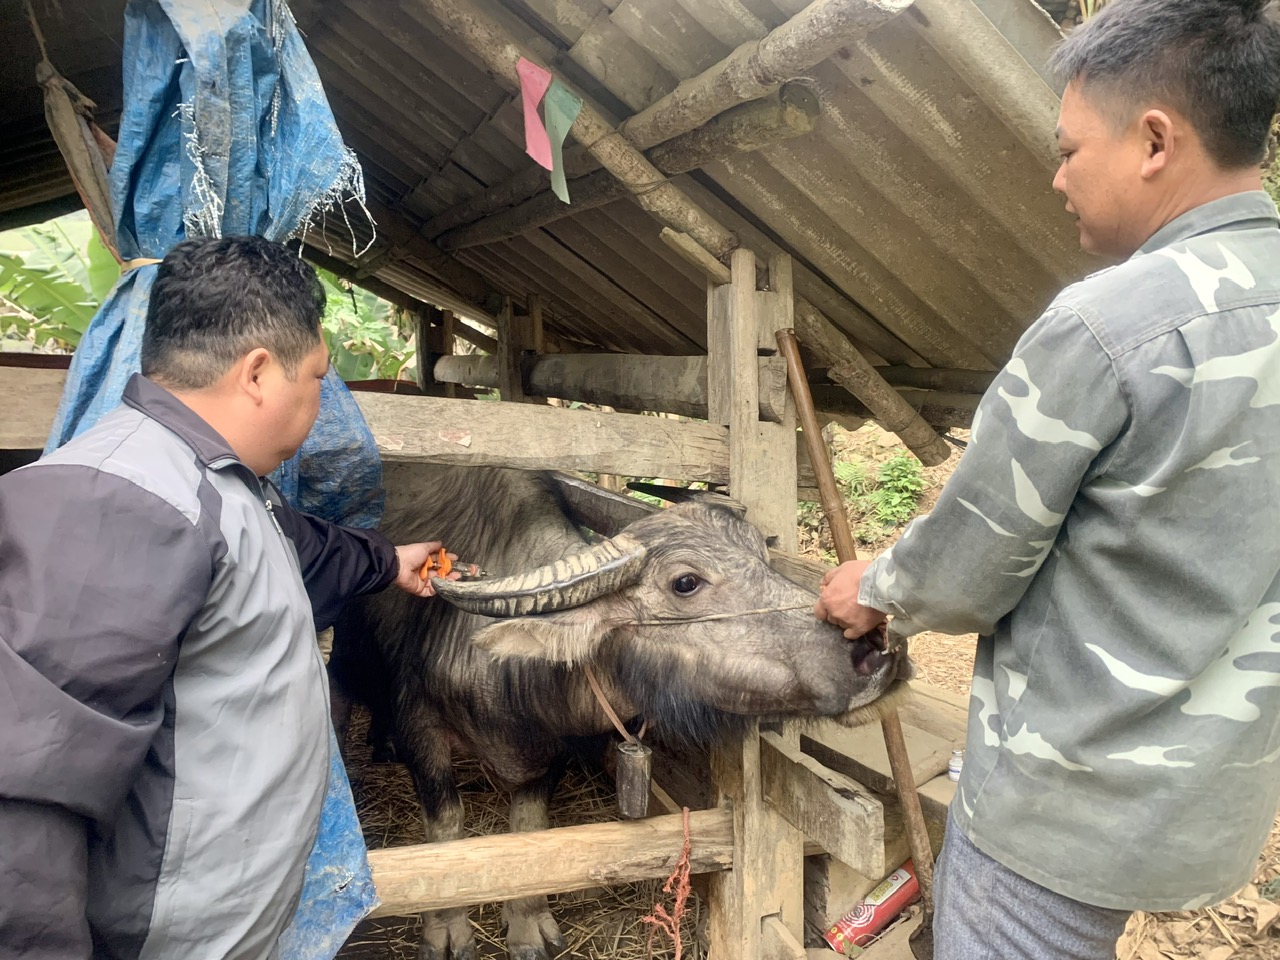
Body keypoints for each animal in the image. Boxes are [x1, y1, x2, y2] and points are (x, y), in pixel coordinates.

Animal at [330, 465, 911, 960]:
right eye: (685, 582)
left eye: (762, 561)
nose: (874, 650)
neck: (501, 670)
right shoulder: (422, 733)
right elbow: (445, 828)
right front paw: (447, 930)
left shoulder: (553, 752)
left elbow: (529, 829)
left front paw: (527, 924)